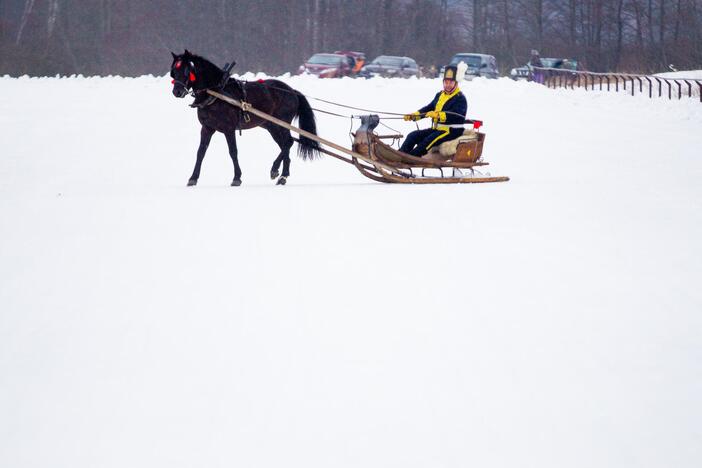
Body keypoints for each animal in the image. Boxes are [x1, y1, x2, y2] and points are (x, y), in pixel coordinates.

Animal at [170, 49, 322, 185]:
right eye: (174, 72)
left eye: (186, 70)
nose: (177, 91)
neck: (217, 92)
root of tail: (292, 91)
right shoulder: (206, 128)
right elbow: (201, 152)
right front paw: (193, 178)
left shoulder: (229, 129)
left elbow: (233, 151)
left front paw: (237, 178)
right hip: (271, 126)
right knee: (285, 144)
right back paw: (280, 174)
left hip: (282, 124)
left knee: (287, 143)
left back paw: (280, 173)